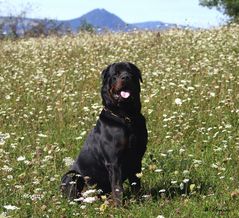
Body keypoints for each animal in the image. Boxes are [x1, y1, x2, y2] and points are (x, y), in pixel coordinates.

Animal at [61, 61, 148, 206]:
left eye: (131, 72)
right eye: (115, 74)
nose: (126, 77)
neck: (126, 117)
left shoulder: (137, 158)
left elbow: (136, 183)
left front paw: (138, 202)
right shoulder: (114, 161)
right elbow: (117, 187)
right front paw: (119, 207)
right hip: (71, 176)